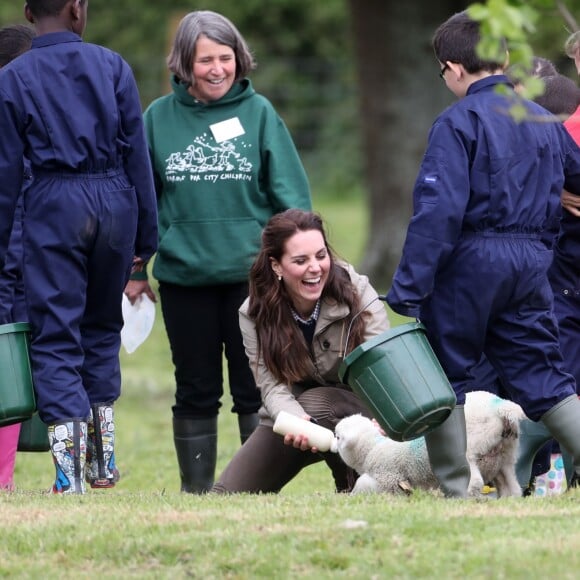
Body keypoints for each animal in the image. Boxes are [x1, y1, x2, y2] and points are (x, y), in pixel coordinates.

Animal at [334, 388, 524, 496]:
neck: (374, 448)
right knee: (513, 487)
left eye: (337, 436)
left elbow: (363, 484)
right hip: (505, 457)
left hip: (473, 447)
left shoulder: (388, 477)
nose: (332, 445)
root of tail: (500, 407)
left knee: (475, 480)